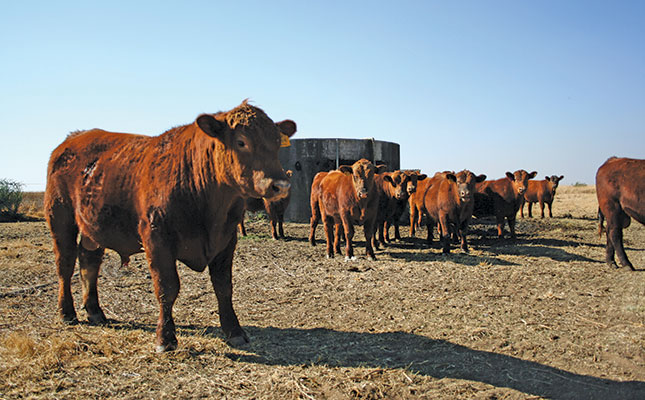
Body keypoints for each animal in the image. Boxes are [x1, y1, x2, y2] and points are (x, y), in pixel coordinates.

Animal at [45, 101, 296, 352]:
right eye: (241, 141)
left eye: (276, 142)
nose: (281, 185)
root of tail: (72, 139)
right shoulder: (157, 239)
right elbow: (167, 288)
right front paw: (165, 339)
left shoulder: (226, 240)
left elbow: (224, 287)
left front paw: (234, 331)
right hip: (60, 218)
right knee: (65, 264)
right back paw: (67, 312)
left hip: (93, 228)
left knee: (89, 262)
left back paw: (95, 311)